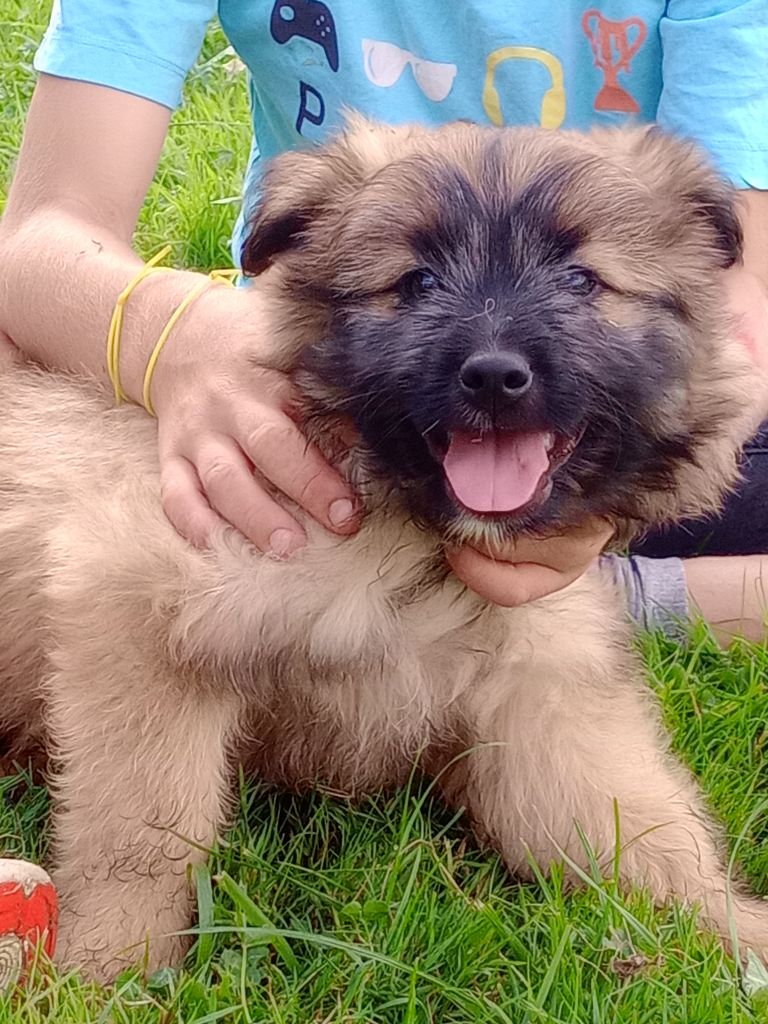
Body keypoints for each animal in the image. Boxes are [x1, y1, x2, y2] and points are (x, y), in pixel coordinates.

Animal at [1, 116, 768, 978]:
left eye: (582, 281)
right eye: (417, 283)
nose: (493, 376)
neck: (411, 534)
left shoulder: (541, 690)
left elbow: (627, 823)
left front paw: (732, 930)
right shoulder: (134, 605)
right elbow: (142, 825)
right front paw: (108, 969)